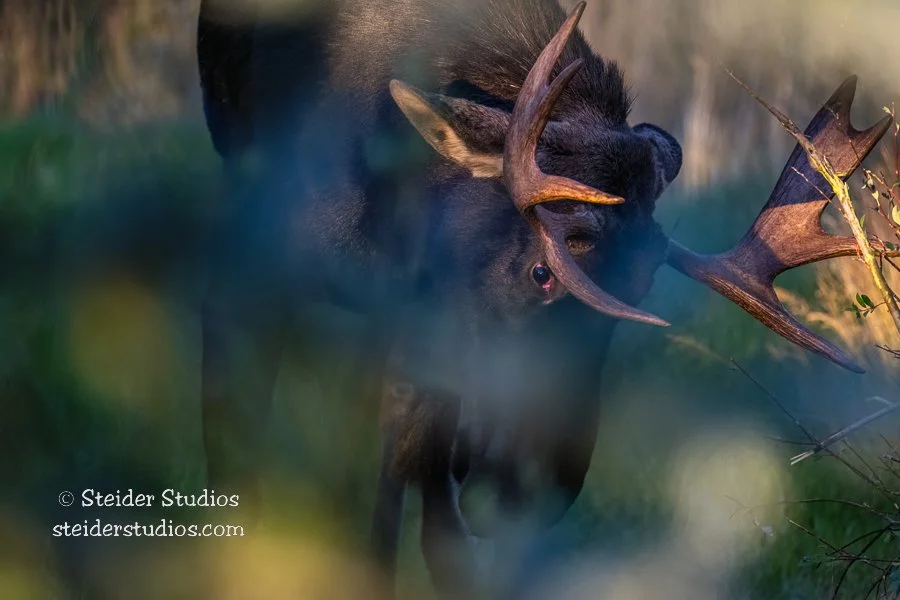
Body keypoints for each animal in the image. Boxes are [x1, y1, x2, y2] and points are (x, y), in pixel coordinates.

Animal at [195, 0, 892, 597]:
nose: (535, 484)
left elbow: (410, 457)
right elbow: (240, 422)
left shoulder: (428, 310)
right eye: (542, 272)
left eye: (642, 285)